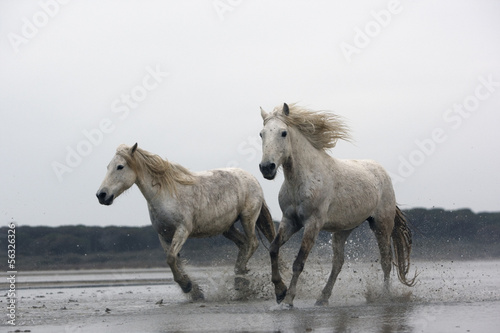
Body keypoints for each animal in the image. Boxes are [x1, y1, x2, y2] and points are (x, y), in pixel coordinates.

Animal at [95, 144, 276, 300]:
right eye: (108, 167)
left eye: (120, 167)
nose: (101, 195)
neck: (165, 195)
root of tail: (253, 179)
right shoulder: (164, 235)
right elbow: (174, 260)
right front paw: (194, 291)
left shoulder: (182, 230)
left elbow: (170, 258)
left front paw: (187, 286)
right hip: (227, 228)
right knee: (244, 244)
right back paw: (241, 279)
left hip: (247, 218)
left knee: (252, 243)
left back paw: (239, 279)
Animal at [258, 103, 414, 306]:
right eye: (261, 134)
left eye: (283, 133)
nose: (266, 168)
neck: (303, 179)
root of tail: (382, 173)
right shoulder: (290, 221)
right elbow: (273, 249)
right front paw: (279, 291)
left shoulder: (313, 223)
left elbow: (299, 262)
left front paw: (289, 299)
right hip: (343, 230)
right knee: (338, 262)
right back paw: (322, 298)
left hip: (381, 225)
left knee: (386, 260)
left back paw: (384, 296)